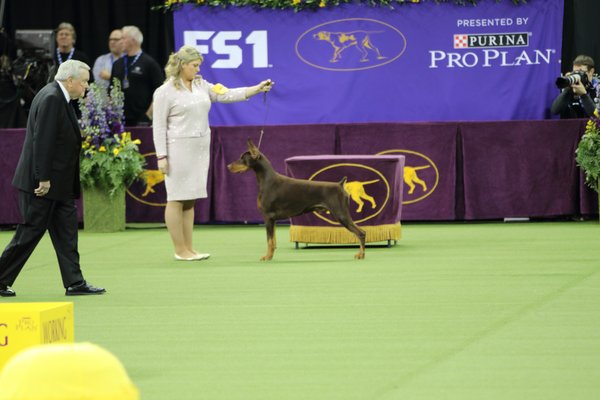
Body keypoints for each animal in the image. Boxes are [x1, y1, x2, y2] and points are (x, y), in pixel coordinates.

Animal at [226, 141, 364, 262]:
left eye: (242, 158)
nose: (228, 166)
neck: (267, 180)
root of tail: (340, 185)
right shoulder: (273, 219)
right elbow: (273, 241)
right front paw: (270, 256)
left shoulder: (267, 217)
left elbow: (269, 241)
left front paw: (267, 257)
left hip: (341, 214)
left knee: (361, 233)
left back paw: (361, 255)